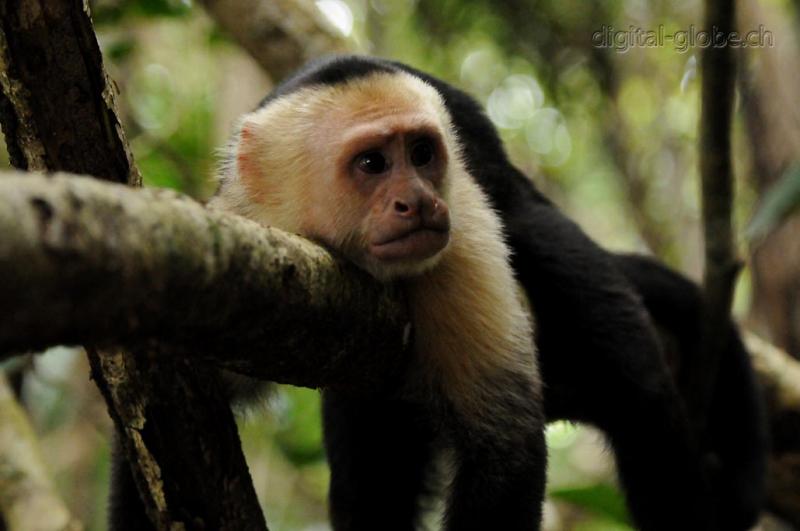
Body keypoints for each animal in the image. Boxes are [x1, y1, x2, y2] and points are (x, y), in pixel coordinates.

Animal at [109, 54, 764, 531]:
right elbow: (162, 426)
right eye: (372, 164)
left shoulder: (462, 243)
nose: (418, 202)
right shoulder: (239, 243)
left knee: (630, 378)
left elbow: (504, 447)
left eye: (421, 154)